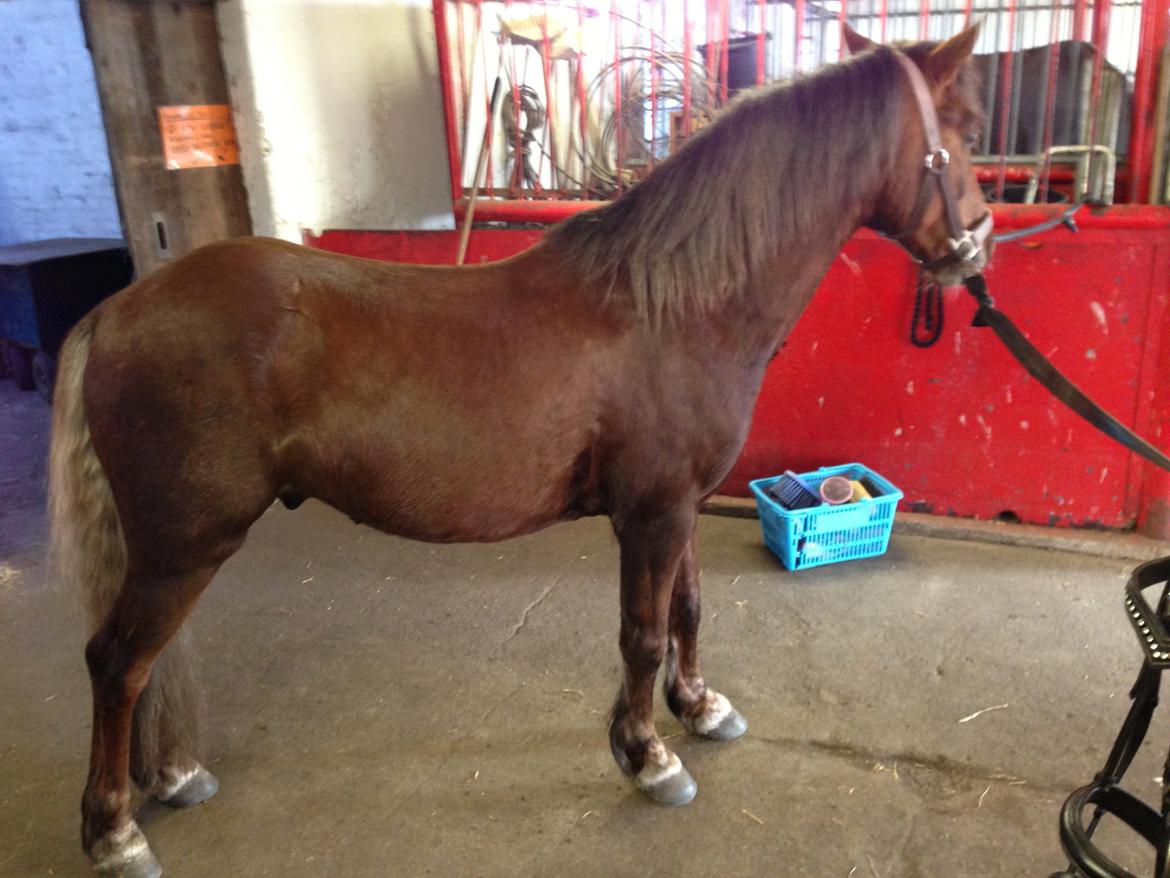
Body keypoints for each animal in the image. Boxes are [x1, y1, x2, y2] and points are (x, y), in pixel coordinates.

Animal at [49, 25, 990, 877]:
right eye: (963, 127)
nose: (975, 244)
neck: (673, 305)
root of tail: (118, 311)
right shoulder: (650, 516)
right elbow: (641, 633)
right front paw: (648, 757)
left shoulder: (680, 506)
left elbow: (687, 611)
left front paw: (699, 708)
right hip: (183, 547)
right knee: (115, 663)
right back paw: (114, 832)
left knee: (146, 664)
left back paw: (171, 776)